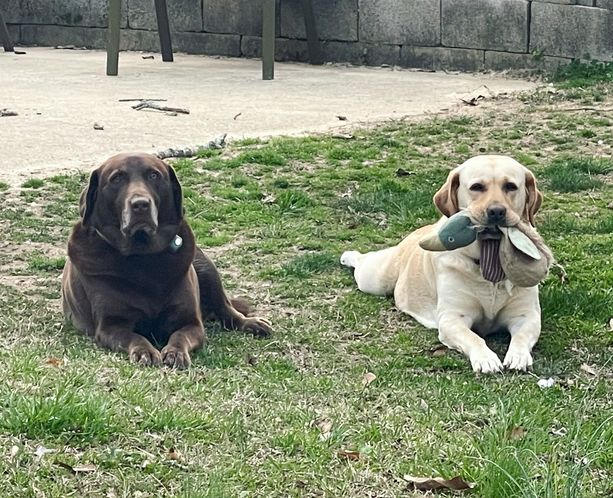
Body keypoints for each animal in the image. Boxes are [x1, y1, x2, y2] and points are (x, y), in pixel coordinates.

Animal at [62, 152, 271, 368]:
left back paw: (251, 323)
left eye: (154, 175)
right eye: (117, 178)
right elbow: (135, 337)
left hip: (206, 267)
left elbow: (180, 336)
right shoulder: (111, 325)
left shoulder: (190, 322)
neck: (143, 257)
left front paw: (175, 352)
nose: (140, 204)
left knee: (226, 308)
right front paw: (145, 351)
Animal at [341, 155, 547, 373]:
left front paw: (518, 356)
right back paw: (348, 255)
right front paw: (486, 359)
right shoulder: (453, 318)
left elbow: (521, 336)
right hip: (375, 280)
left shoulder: (526, 316)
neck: (488, 260)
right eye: (476, 187)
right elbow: (474, 338)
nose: (497, 211)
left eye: (510, 186)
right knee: (364, 262)